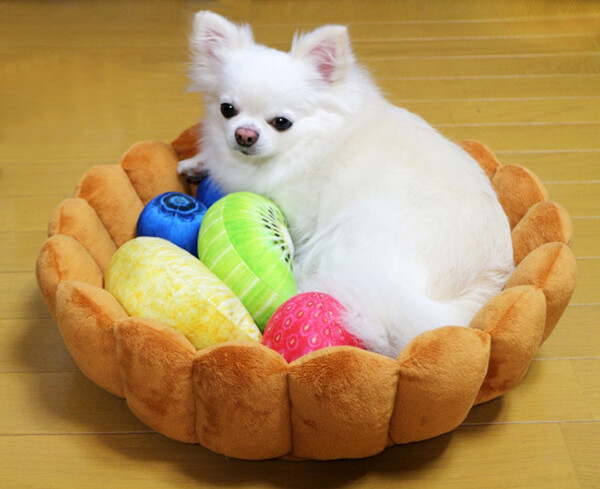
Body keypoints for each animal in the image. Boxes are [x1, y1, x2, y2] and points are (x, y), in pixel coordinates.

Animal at [180, 10, 512, 354]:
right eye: (227, 109)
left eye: (282, 123)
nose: (244, 134)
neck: (309, 143)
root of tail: (485, 283)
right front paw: (195, 163)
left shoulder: (297, 214)